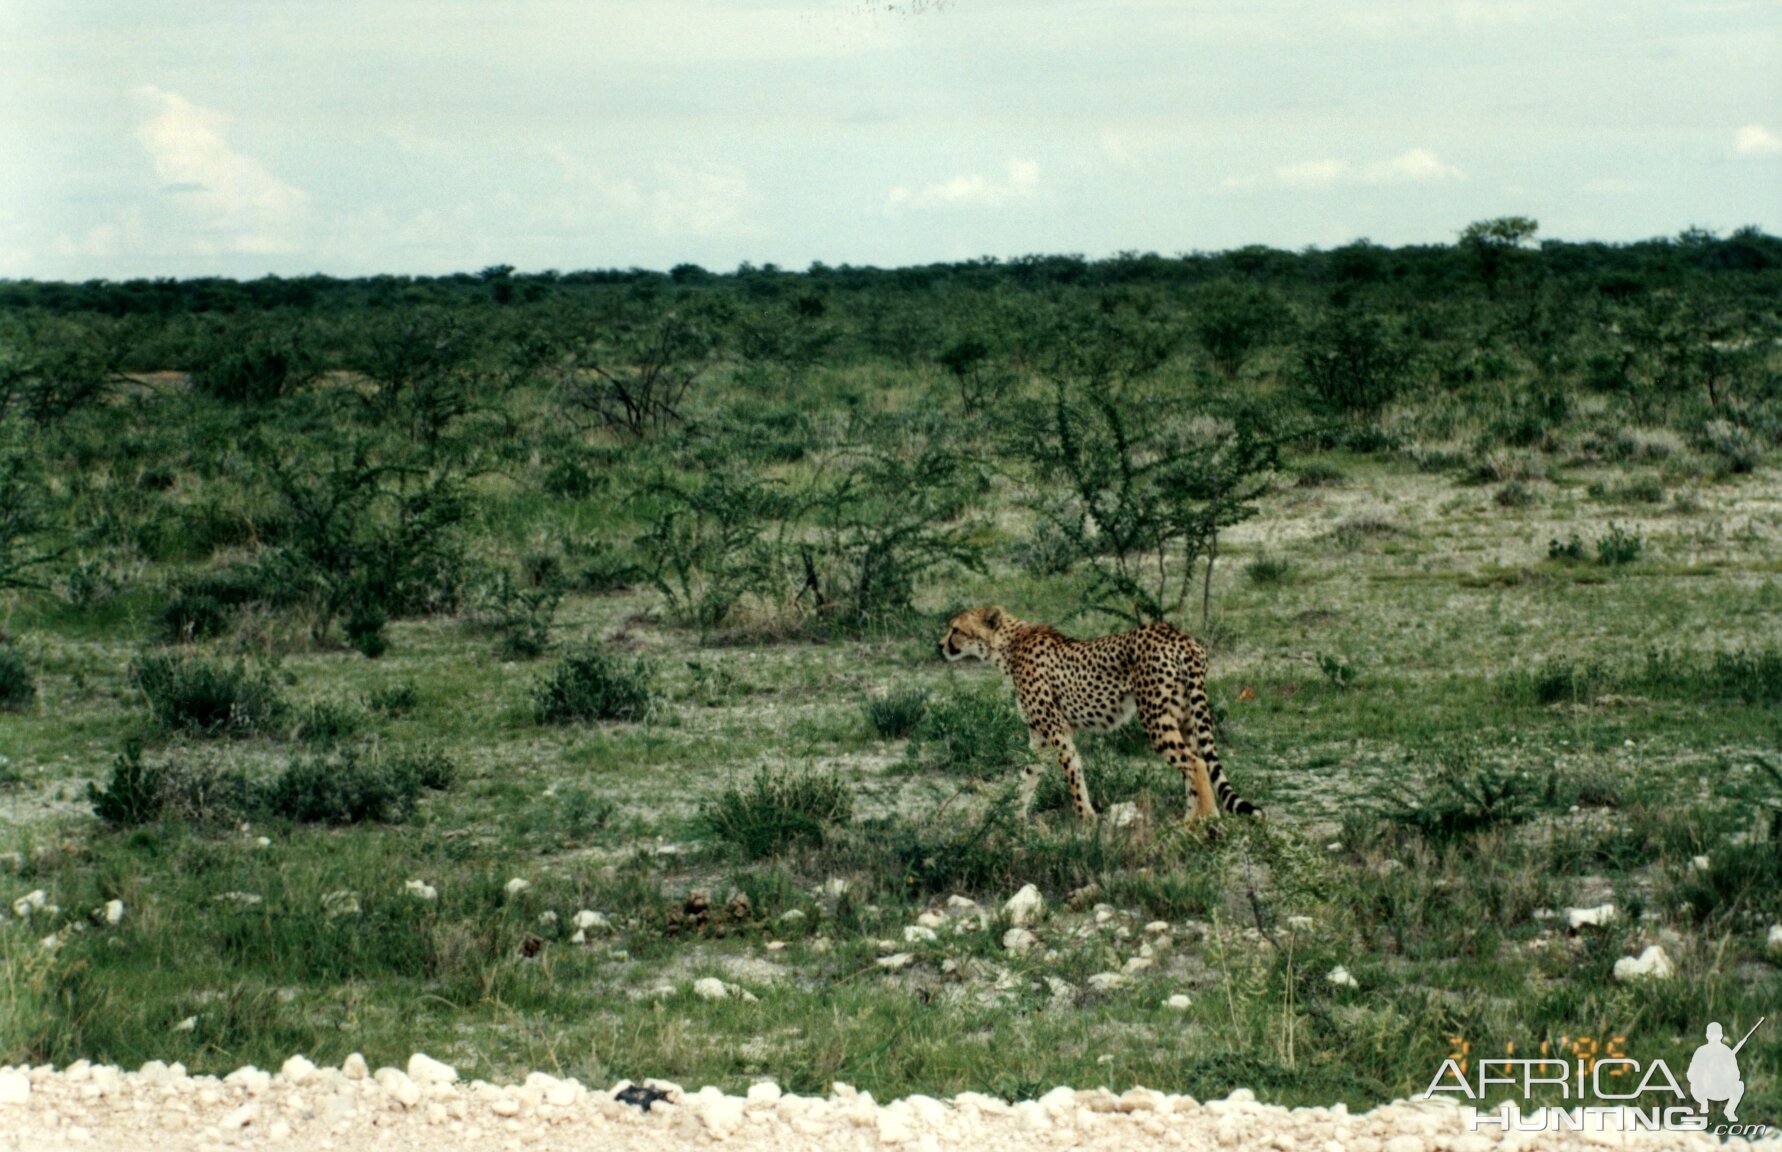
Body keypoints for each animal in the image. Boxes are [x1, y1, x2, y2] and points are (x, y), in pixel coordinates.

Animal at [940, 609, 1261, 827]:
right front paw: (1014, 816)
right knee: (1193, 763)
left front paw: (1086, 819)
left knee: (1195, 763)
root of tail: (1179, 636)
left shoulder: (1057, 729)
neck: (1009, 645)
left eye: (955, 629)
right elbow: (1029, 774)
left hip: (1155, 718)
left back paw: (1206, 821)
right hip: (1184, 716)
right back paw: (1188, 821)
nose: (940, 645)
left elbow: (1072, 771)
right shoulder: (1039, 735)